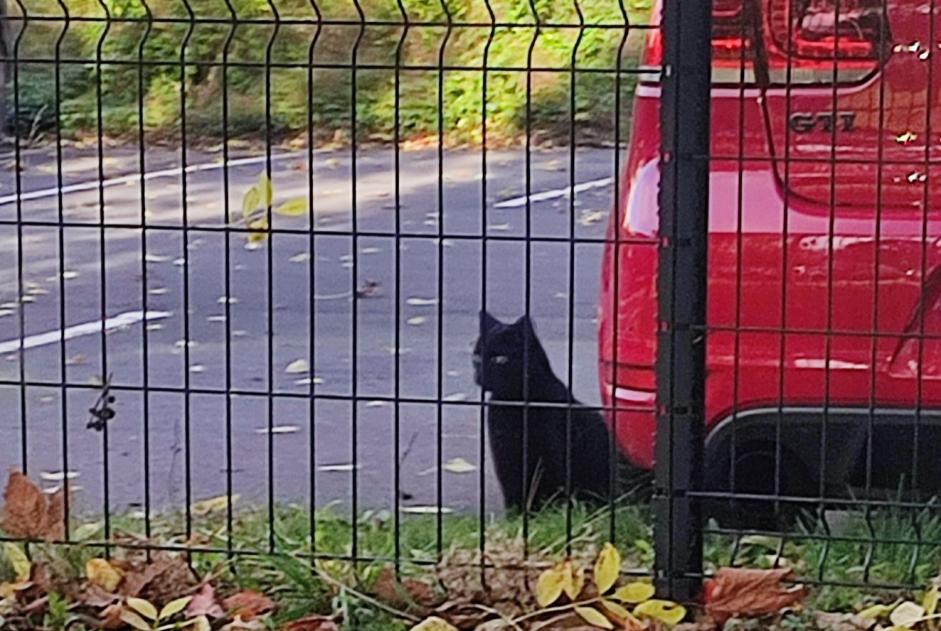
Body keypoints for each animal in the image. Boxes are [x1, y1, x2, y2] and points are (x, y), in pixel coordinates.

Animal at [470, 312, 616, 512]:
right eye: (476, 358)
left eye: (500, 359)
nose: (479, 376)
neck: (513, 402)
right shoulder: (504, 458)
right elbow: (513, 495)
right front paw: (516, 517)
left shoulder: (549, 458)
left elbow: (551, 493)